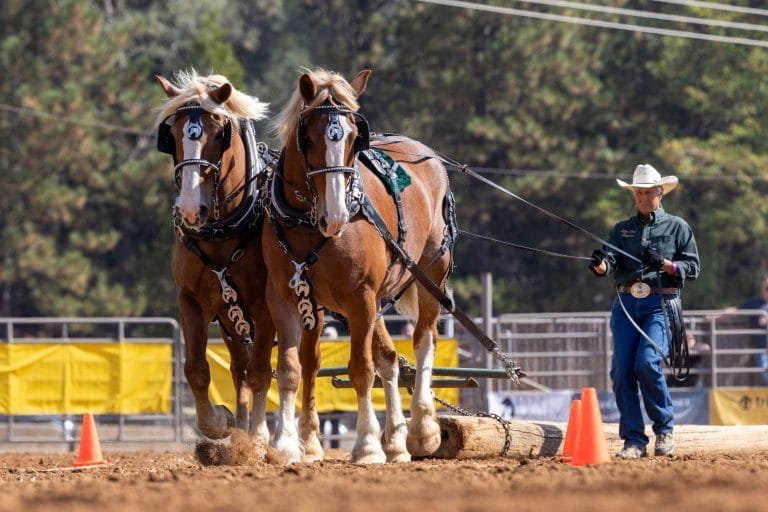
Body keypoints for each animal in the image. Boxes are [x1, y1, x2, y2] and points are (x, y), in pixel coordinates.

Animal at [154, 70, 277, 445]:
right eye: (171, 136)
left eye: (220, 134)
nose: (191, 209)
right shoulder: (191, 300)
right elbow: (197, 369)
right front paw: (220, 423)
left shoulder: (267, 306)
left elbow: (262, 369)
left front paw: (260, 434)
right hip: (230, 321)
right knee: (238, 368)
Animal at [262, 68, 456, 463]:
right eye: (308, 137)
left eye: (355, 138)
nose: (336, 215)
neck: (309, 224)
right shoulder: (285, 298)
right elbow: (290, 368)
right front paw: (285, 444)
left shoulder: (360, 297)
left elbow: (361, 370)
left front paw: (367, 445)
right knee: (390, 358)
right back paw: (396, 441)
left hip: (430, 273)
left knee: (423, 341)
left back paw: (422, 428)